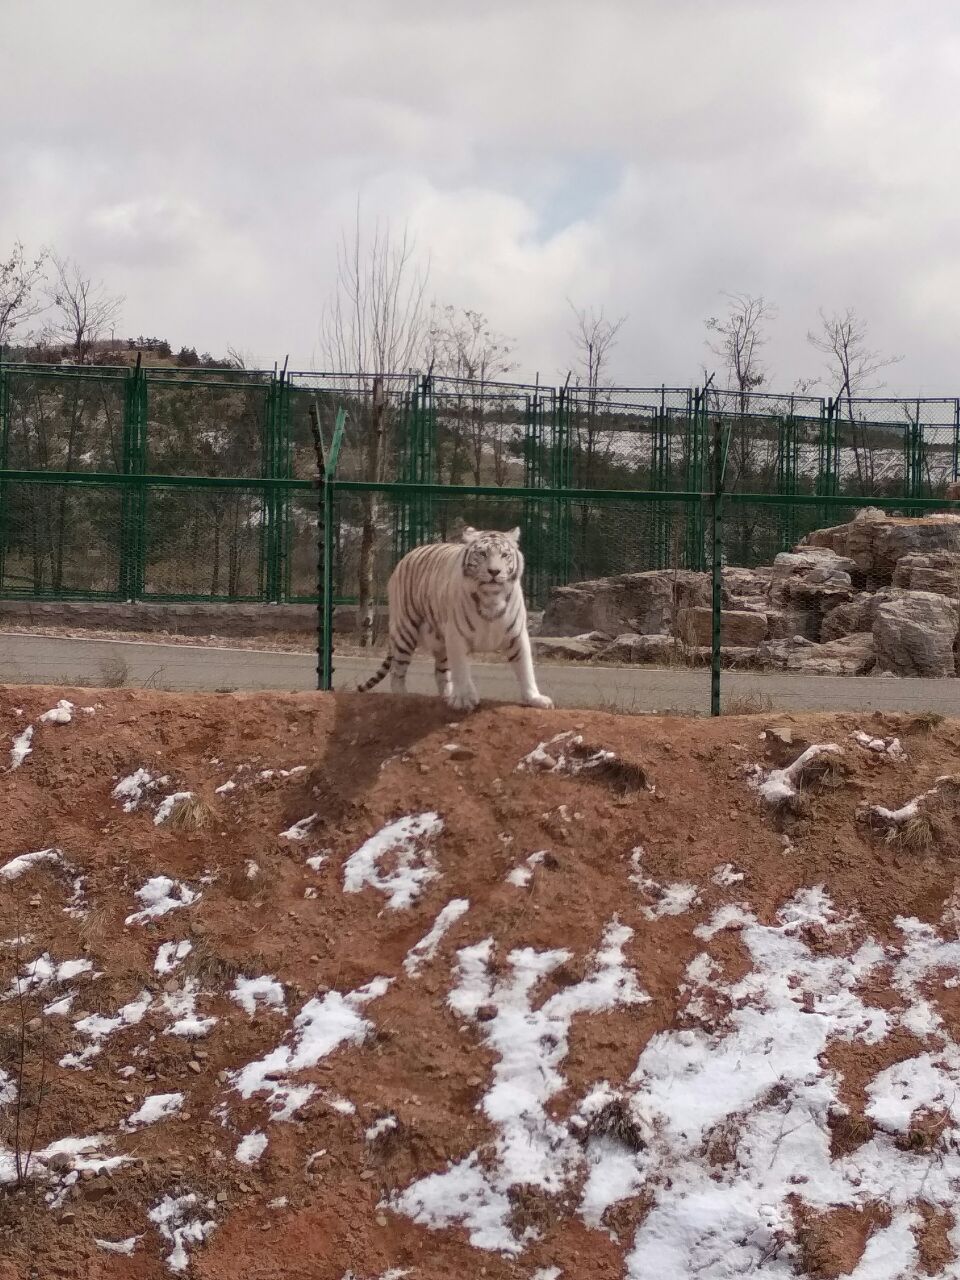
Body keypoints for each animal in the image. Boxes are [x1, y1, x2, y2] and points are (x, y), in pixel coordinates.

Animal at [358, 524, 555, 716]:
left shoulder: (517, 636)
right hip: (405, 631)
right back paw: (403, 697)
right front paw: (464, 699)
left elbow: (526, 668)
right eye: (482, 554)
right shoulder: (456, 636)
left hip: (439, 641)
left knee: (440, 673)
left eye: (504, 555)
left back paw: (446, 696)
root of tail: (408, 555)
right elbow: (461, 669)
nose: (494, 571)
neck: (491, 598)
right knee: (397, 671)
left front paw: (535, 698)